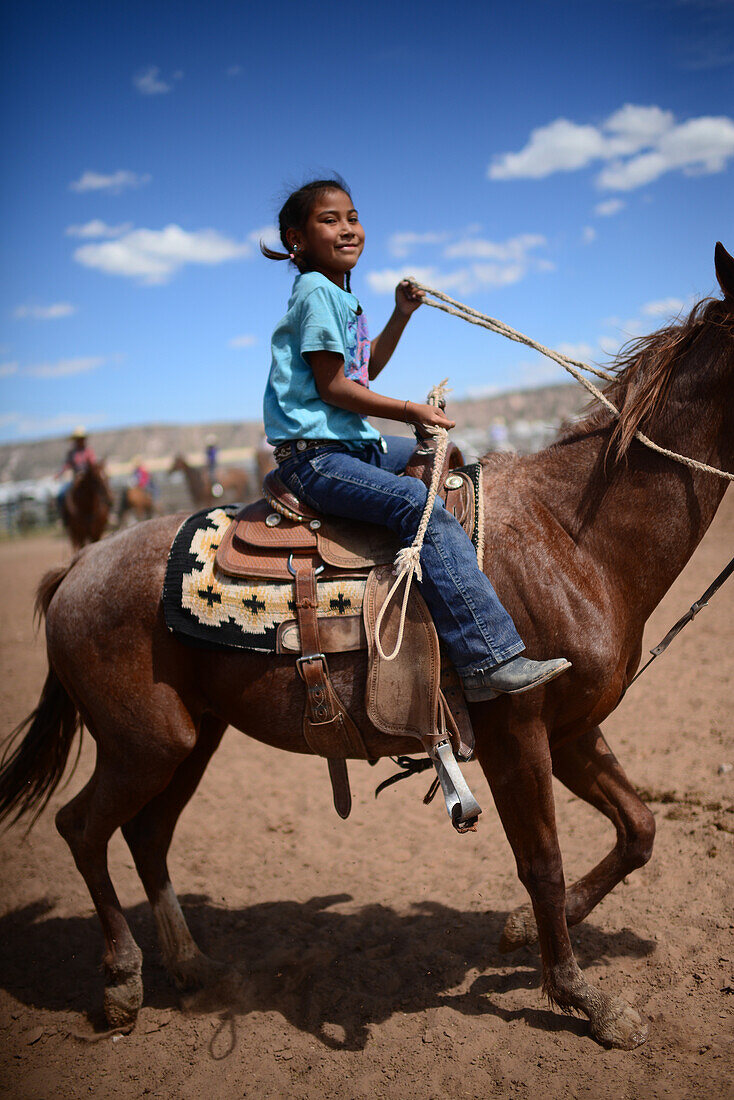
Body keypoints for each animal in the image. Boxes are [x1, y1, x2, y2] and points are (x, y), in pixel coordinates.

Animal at [4, 240, 734, 1047]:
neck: (573, 537)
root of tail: (77, 568)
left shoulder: (573, 728)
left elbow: (638, 829)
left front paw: (523, 933)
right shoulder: (518, 731)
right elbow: (542, 860)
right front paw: (584, 996)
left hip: (188, 739)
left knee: (146, 836)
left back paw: (193, 968)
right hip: (144, 742)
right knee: (82, 828)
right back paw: (122, 984)